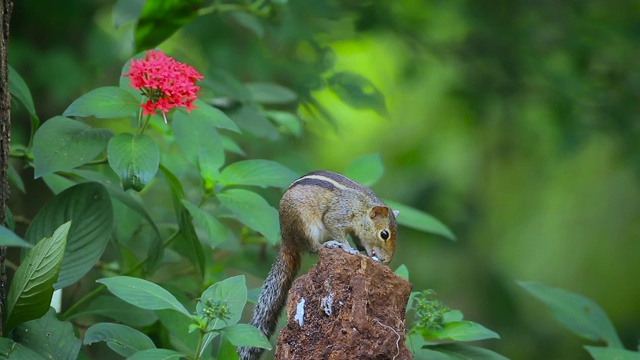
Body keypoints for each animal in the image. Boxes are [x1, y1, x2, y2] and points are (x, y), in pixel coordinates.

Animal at [239, 170, 398, 358]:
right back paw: (328, 244)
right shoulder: (338, 215)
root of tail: (287, 239)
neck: (362, 206)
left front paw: (362, 250)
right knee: (313, 247)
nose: (387, 260)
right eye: (384, 234)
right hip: (305, 225)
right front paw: (348, 248)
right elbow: (336, 228)